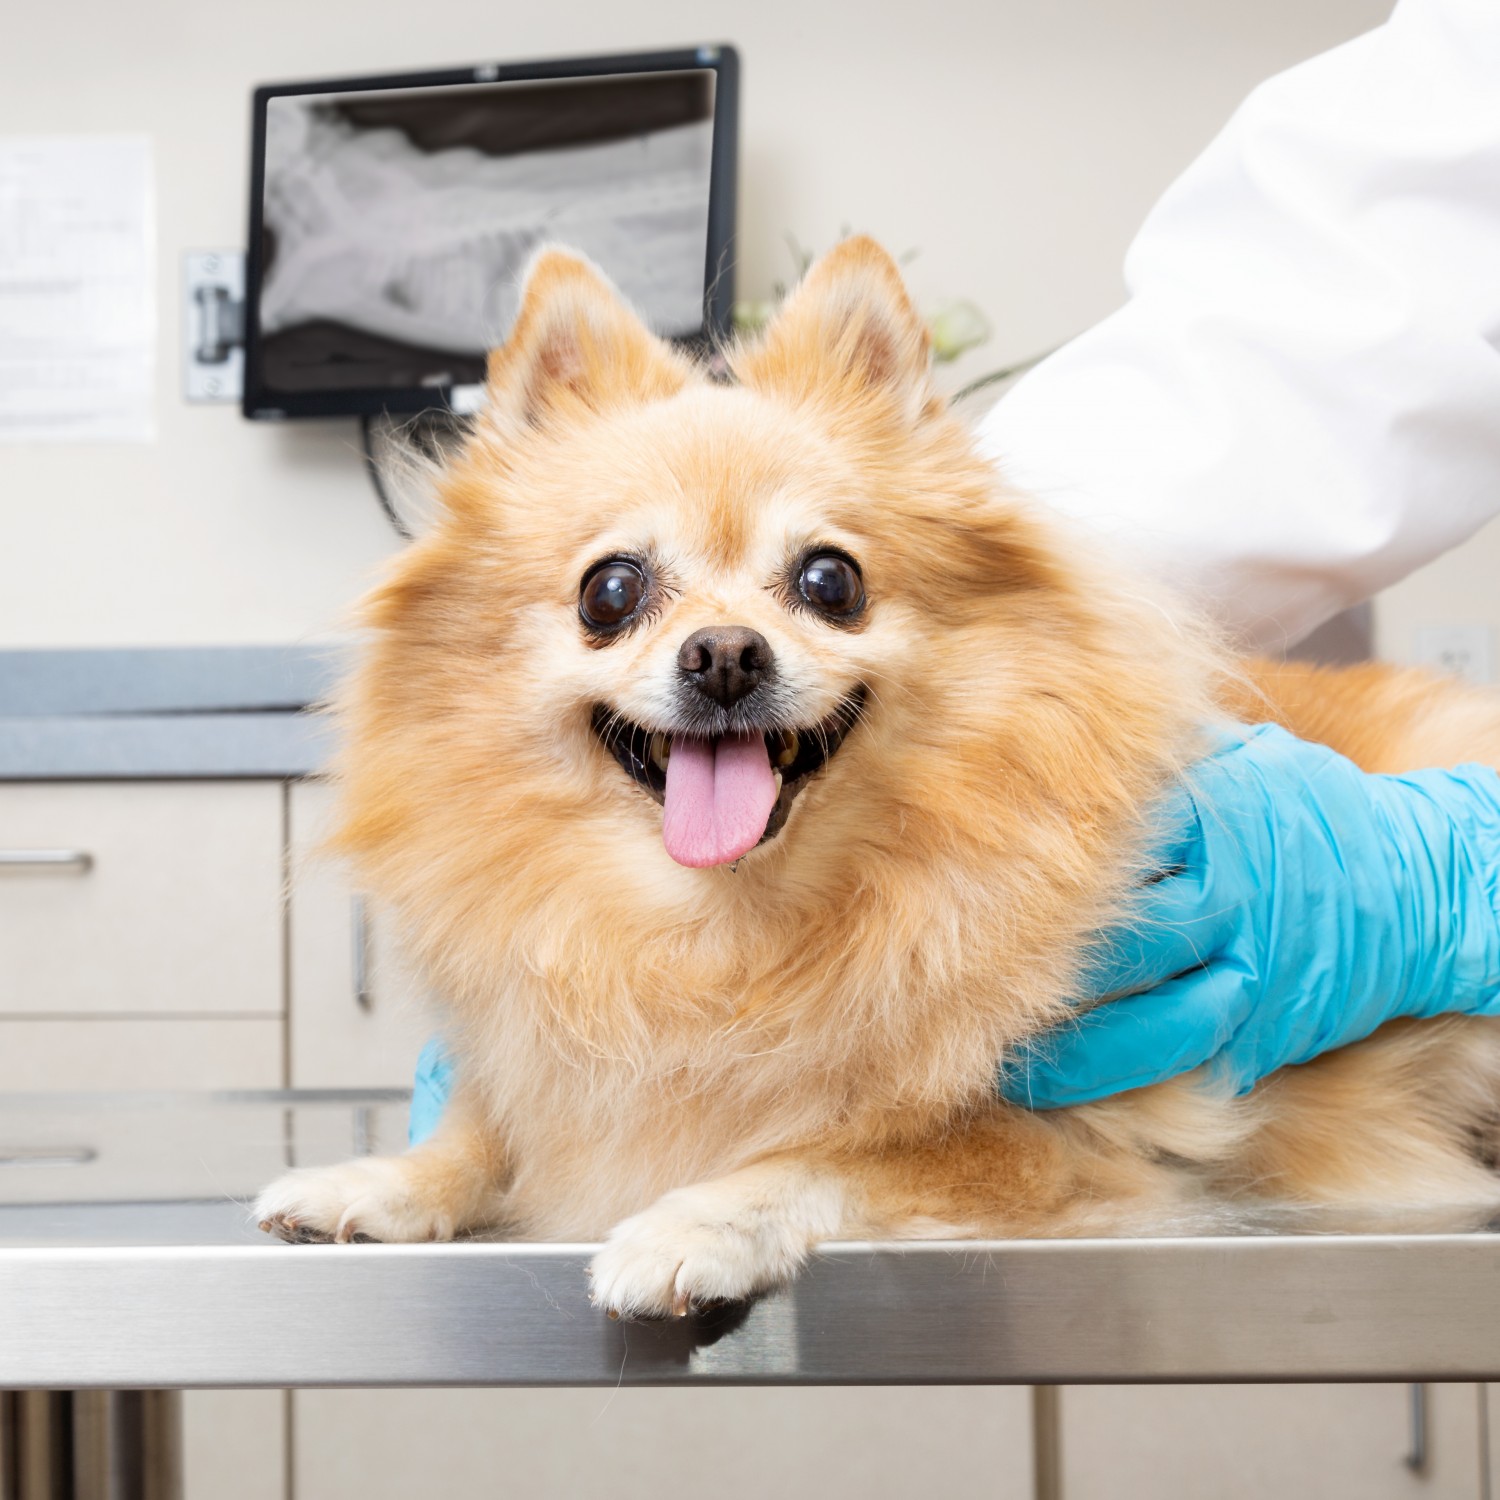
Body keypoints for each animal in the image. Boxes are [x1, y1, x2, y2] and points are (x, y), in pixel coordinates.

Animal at [255, 231, 1500, 1314]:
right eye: (610, 592)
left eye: (829, 581)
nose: (724, 655)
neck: (724, 939)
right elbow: (487, 1121)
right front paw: (386, 1177)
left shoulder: (1081, 1138)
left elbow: (852, 1146)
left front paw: (696, 1218)